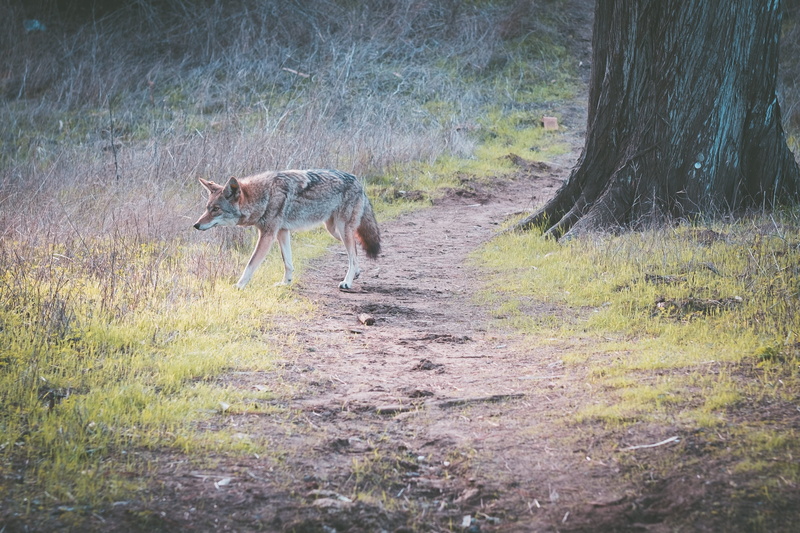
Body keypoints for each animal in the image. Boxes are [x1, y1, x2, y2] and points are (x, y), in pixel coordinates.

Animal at [193, 169, 381, 290]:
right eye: (207, 208)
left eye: (216, 209)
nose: (196, 225)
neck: (263, 197)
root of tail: (358, 181)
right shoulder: (282, 232)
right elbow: (288, 263)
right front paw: (286, 283)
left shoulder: (268, 235)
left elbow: (250, 264)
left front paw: (239, 286)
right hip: (335, 230)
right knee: (355, 248)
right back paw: (356, 273)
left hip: (342, 229)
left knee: (353, 255)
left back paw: (347, 282)